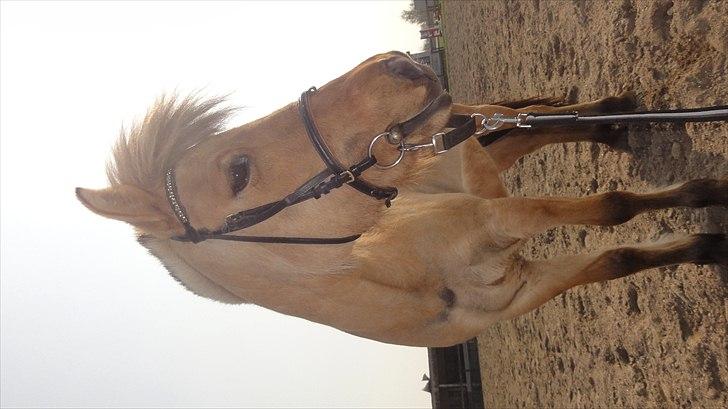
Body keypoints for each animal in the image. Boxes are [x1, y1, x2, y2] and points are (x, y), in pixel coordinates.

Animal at [76, 51, 727, 347]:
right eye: (237, 169)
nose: (392, 64)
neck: (409, 275)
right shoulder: (528, 277)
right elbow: (620, 249)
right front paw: (706, 238)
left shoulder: (502, 219)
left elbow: (612, 209)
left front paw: (707, 192)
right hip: (470, 142)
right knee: (532, 127)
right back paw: (613, 127)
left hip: (464, 123)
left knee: (530, 116)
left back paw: (614, 115)